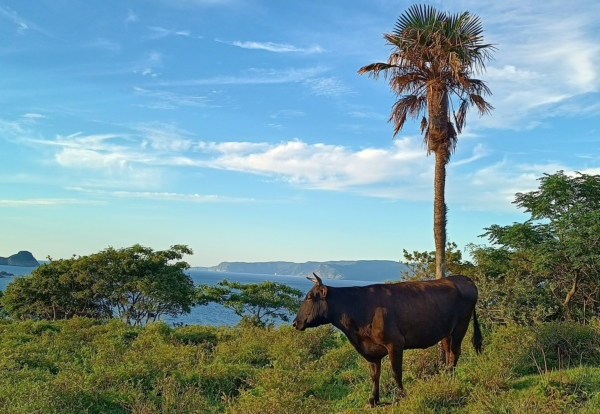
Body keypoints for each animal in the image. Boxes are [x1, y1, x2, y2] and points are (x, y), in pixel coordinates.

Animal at [292, 274, 480, 406]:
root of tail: (461, 278)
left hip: (460, 326)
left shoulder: (395, 343)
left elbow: (396, 372)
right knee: (448, 352)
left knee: (455, 352)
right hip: (446, 331)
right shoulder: (371, 350)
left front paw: (400, 397)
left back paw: (450, 379)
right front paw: (373, 400)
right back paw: (446, 376)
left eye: (309, 297)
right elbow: (375, 375)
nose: (295, 323)